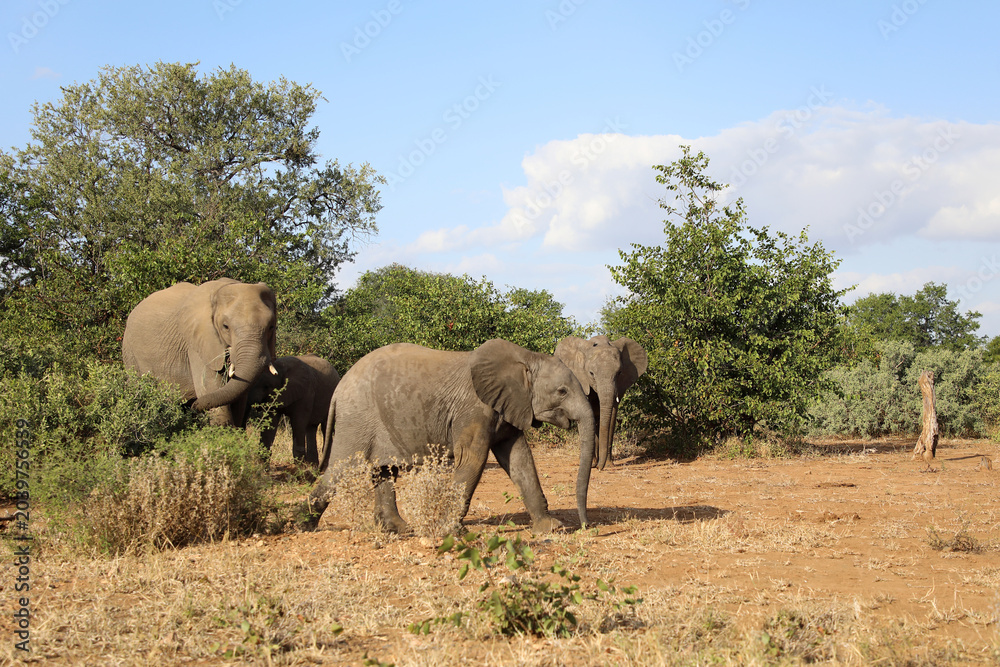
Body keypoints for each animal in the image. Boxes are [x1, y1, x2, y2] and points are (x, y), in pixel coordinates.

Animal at [122, 279, 279, 426]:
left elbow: (238, 398)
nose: (195, 405)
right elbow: (209, 388)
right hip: (129, 352)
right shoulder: (197, 343)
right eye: (225, 326)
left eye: (271, 326)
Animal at [302, 339, 596, 534]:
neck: (526, 358)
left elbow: (519, 459)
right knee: (341, 469)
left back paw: (400, 529)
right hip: (357, 417)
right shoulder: (475, 408)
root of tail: (340, 388)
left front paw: (551, 528)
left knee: (384, 470)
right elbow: (473, 459)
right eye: (562, 391)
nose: (586, 526)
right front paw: (448, 531)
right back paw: (298, 525)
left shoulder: (509, 407)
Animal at [554, 335, 648, 470]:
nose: (600, 468)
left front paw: (608, 465)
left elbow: (612, 415)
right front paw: (592, 465)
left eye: (619, 373)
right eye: (591, 373)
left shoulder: (620, 385)